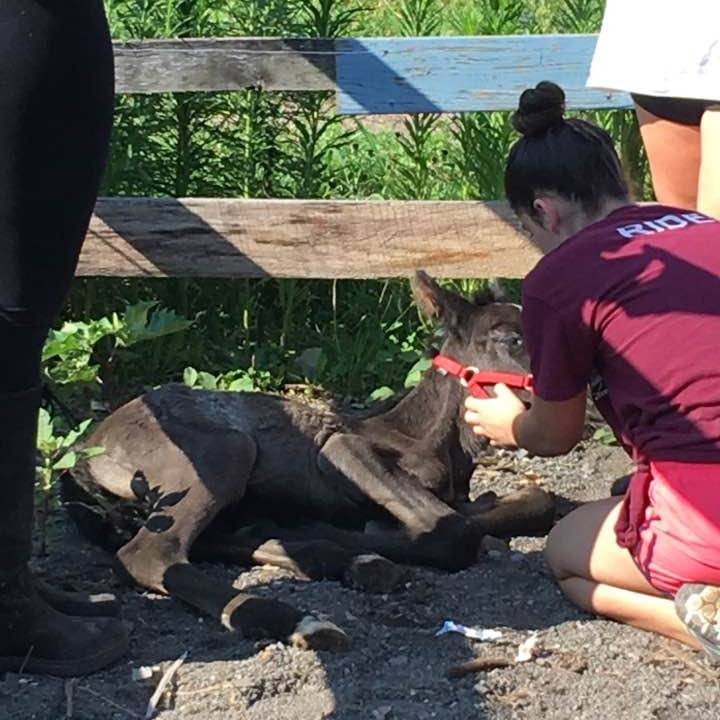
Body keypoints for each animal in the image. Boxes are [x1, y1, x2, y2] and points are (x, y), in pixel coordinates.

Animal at [63, 272, 556, 648]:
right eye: (511, 338)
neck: (438, 442)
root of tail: (81, 458)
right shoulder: (339, 449)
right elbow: (457, 533)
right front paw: (368, 534)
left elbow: (539, 501)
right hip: (225, 451)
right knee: (150, 553)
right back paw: (301, 614)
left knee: (206, 539)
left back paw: (339, 558)